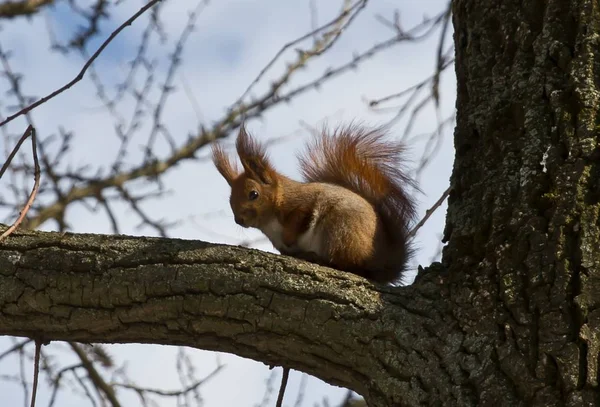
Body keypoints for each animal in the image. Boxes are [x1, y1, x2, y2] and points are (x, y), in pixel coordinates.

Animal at [211, 122, 418, 286]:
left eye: (253, 194)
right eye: (230, 200)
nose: (239, 220)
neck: (270, 223)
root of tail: (381, 261)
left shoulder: (304, 203)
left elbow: (300, 216)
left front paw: (289, 237)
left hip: (340, 231)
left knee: (349, 265)